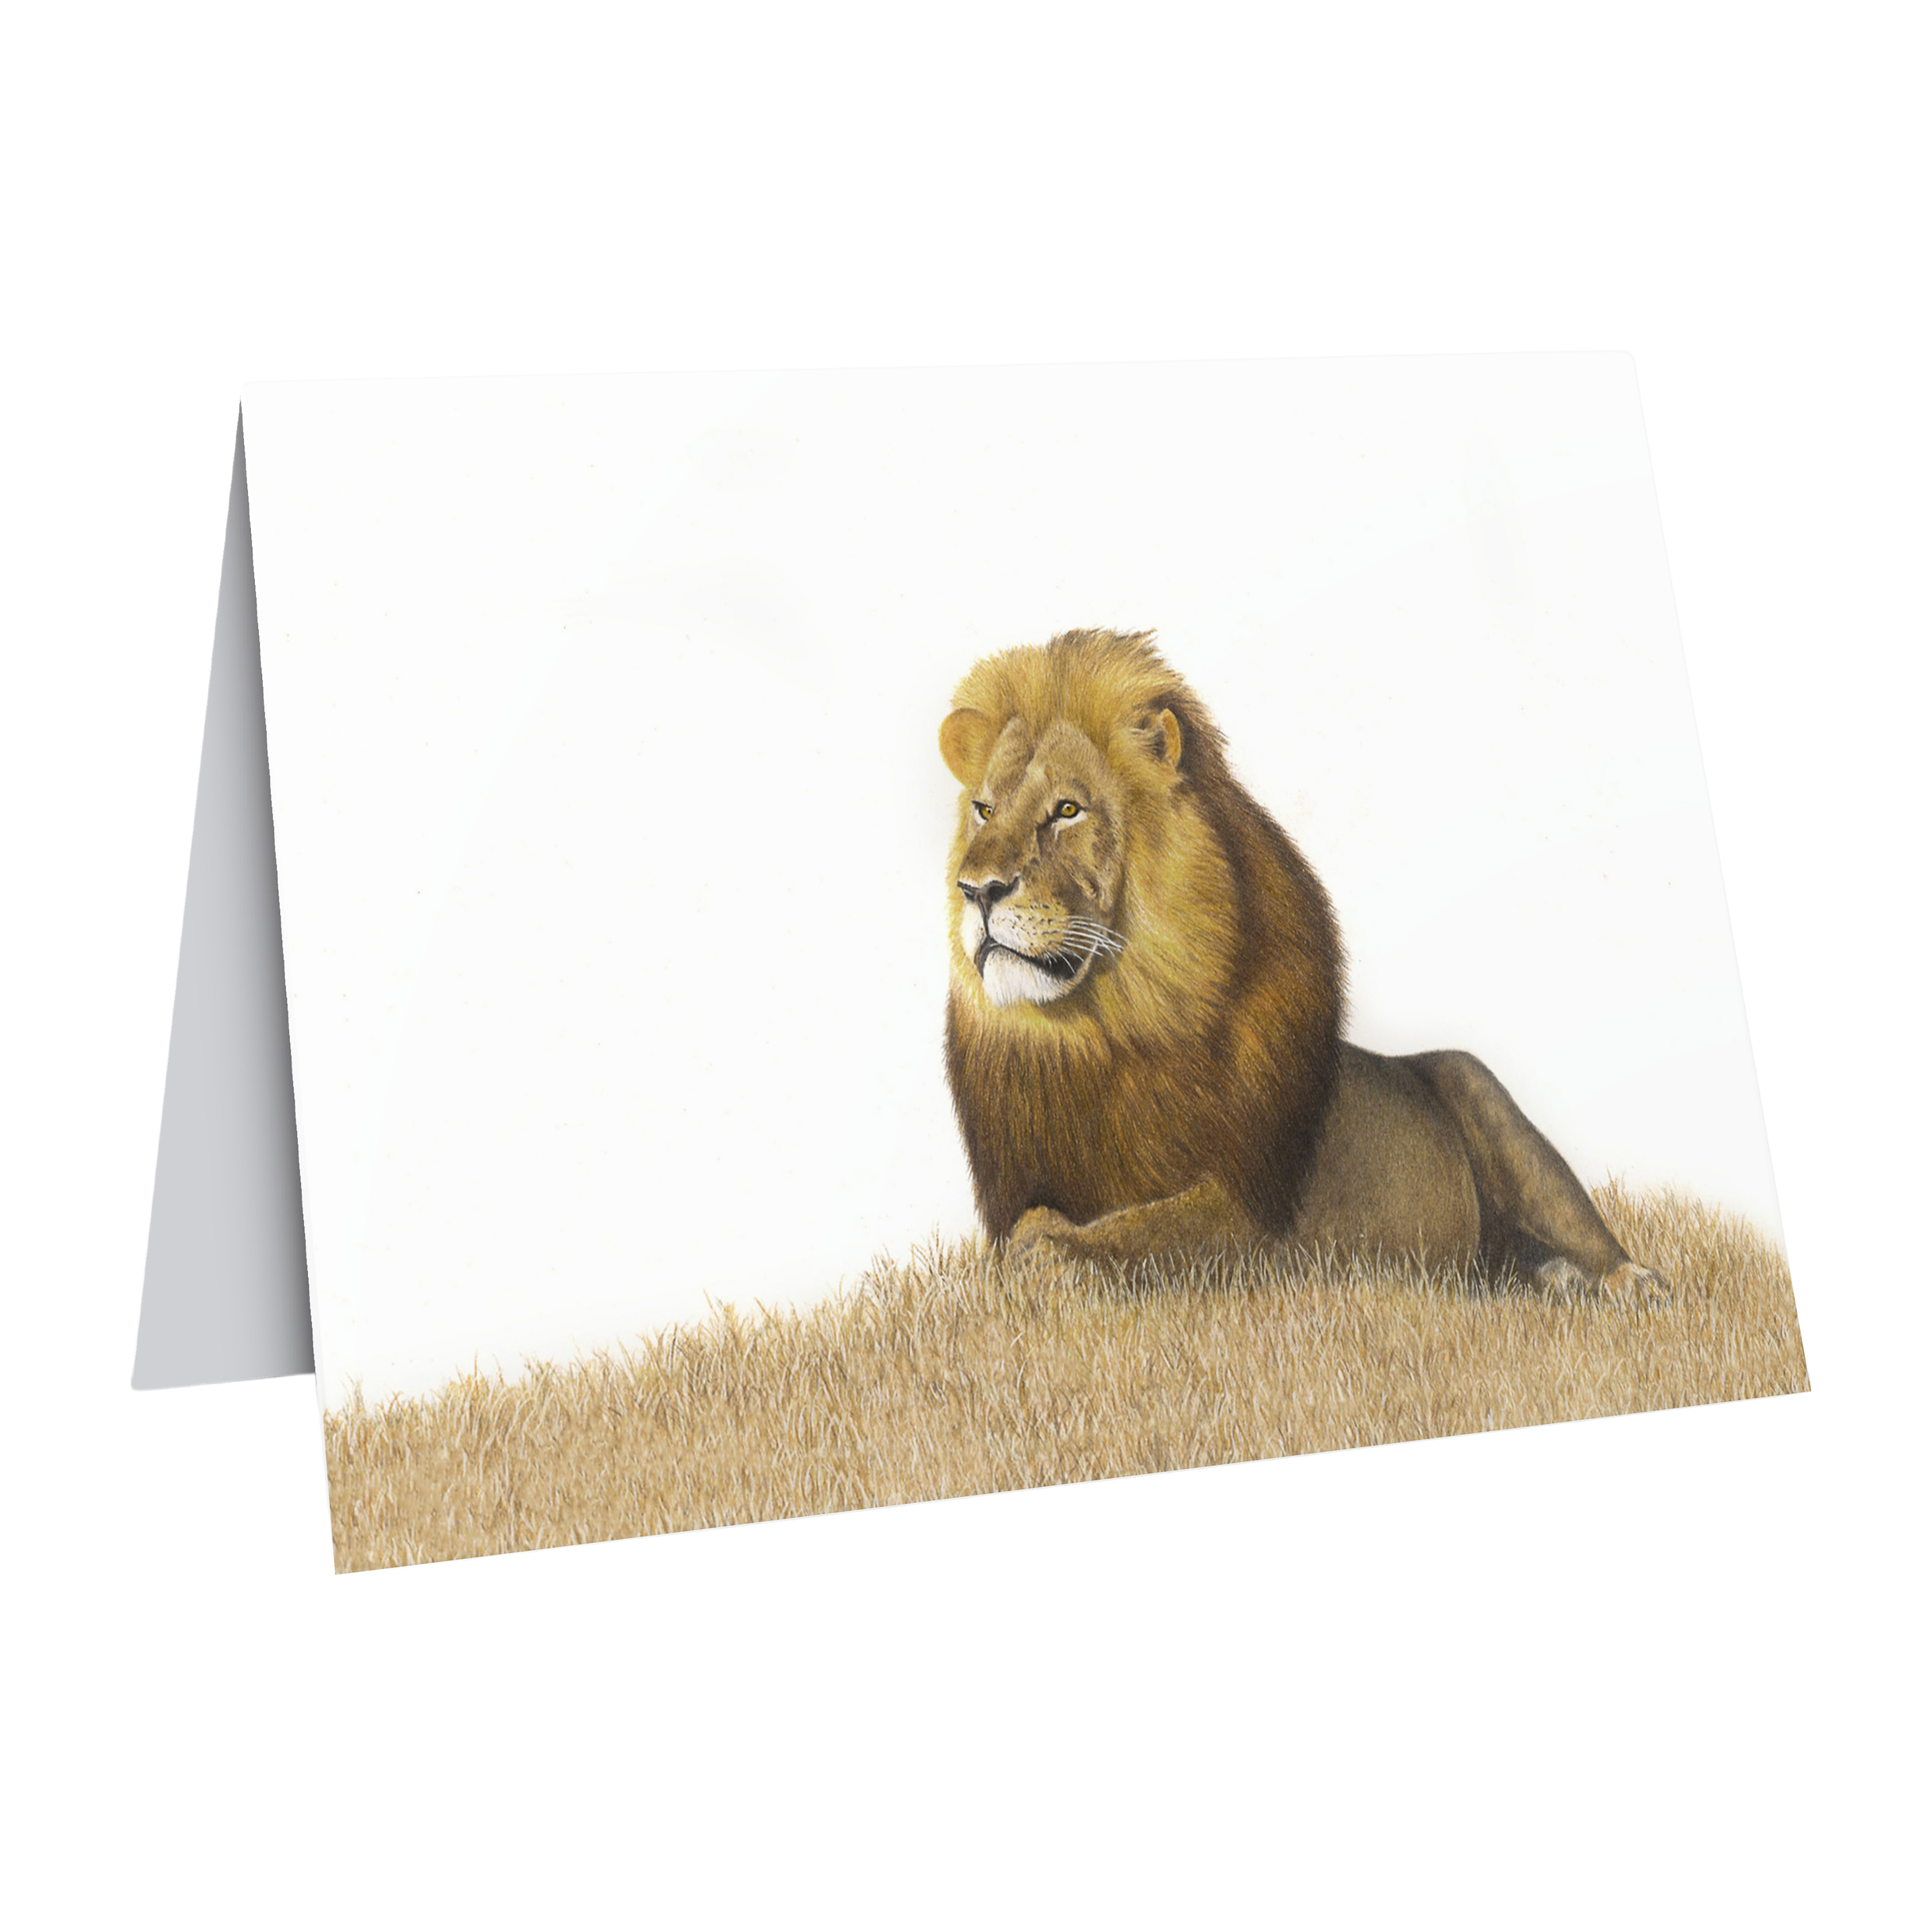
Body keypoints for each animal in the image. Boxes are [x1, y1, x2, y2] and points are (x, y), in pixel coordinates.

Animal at [939, 628, 1666, 1302]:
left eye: (1067, 810)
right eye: (984, 810)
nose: (977, 891)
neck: (1103, 1034)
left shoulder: (1254, 1211)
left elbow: (1153, 1230)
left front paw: (1055, 1256)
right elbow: (1035, 1217)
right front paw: (1027, 1253)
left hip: (1486, 1097)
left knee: (1595, 1240)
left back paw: (1628, 1283)